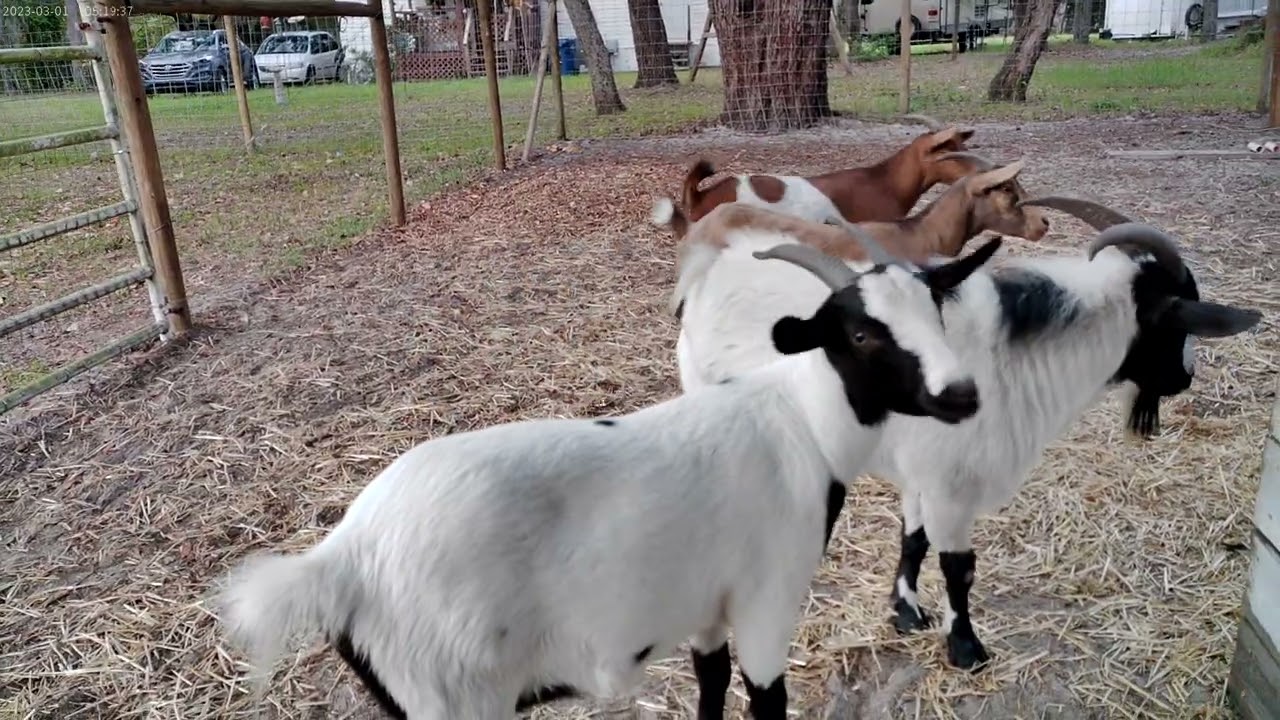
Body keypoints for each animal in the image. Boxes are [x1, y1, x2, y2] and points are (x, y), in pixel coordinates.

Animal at [213, 229, 1003, 720]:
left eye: (937, 313)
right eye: (862, 333)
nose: (964, 395)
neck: (800, 422)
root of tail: (340, 559)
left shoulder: (706, 608)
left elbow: (710, 688)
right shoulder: (766, 604)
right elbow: (765, 700)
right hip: (453, 691)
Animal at [662, 196, 1262, 672]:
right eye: (1179, 320)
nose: (1184, 378)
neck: (1007, 361)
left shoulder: (925, 472)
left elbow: (914, 539)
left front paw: (905, 612)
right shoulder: (951, 486)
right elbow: (958, 567)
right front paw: (966, 648)